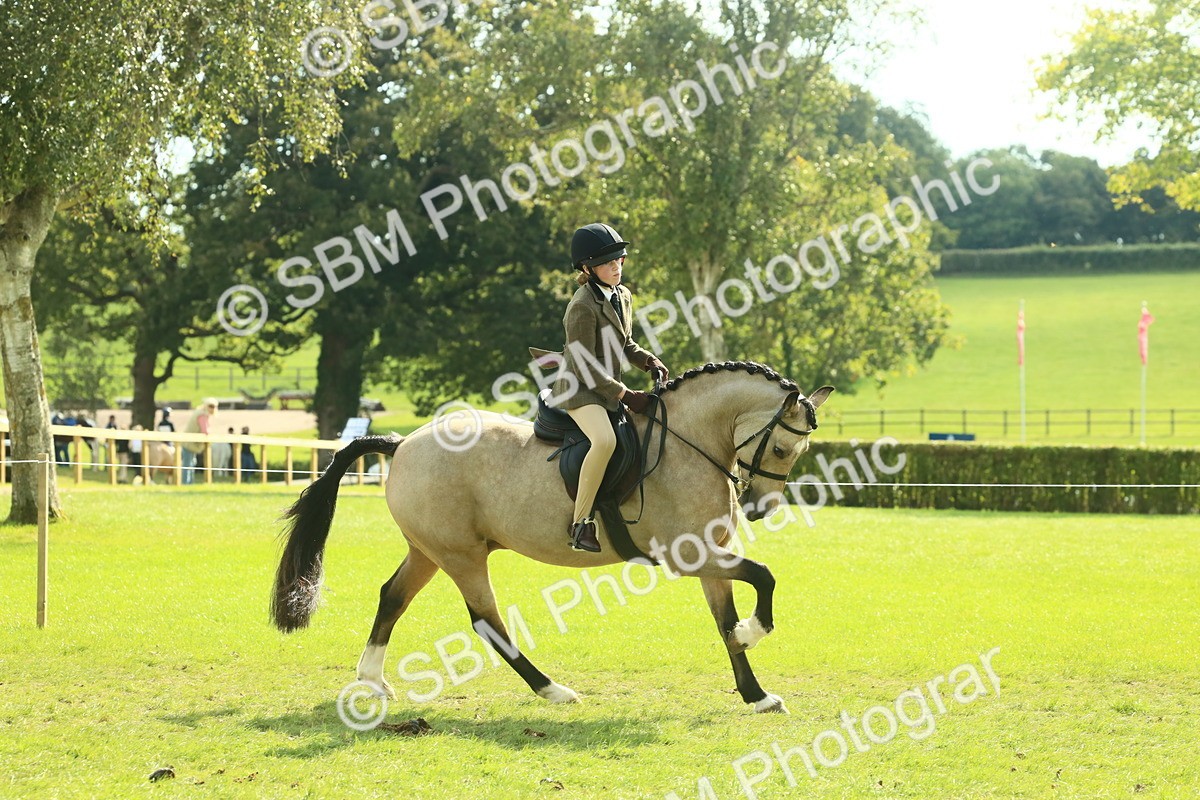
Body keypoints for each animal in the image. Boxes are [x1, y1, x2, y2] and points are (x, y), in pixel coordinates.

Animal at [271, 361, 833, 713]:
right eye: (781, 449)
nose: (760, 508)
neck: (686, 444)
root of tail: (402, 442)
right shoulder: (689, 556)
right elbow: (763, 578)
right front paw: (753, 633)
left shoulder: (712, 556)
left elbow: (724, 620)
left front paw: (756, 694)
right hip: (461, 556)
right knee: (486, 622)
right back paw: (553, 690)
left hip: (429, 551)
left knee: (392, 596)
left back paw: (371, 679)